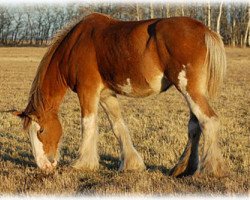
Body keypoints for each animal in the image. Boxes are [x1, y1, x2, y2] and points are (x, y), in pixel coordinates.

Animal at [13, 12, 227, 177]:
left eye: (40, 130)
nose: (44, 166)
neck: (75, 45)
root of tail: (204, 29)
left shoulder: (87, 91)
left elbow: (88, 125)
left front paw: (83, 164)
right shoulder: (106, 95)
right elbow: (118, 127)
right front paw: (131, 164)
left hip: (189, 89)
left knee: (209, 120)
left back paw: (209, 170)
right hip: (192, 92)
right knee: (194, 126)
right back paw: (182, 169)